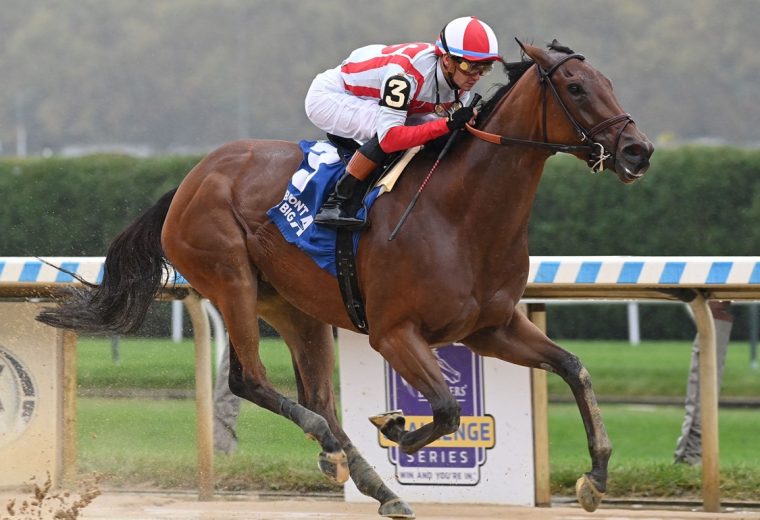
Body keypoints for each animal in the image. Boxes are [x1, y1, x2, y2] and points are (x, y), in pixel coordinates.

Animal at [38, 41, 652, 520]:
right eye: (576, 87)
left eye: (609, 83)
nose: (638, 150)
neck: (461, 214)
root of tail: (191, 179)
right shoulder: (394, 333)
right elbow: (446, 409)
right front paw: (396, 426)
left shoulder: (490, 327)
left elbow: (573, 368)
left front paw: (596, 476)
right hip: (230, 279)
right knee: (253, 380)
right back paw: (337, 450)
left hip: (291, 305)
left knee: (312, 393)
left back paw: (373, 482)